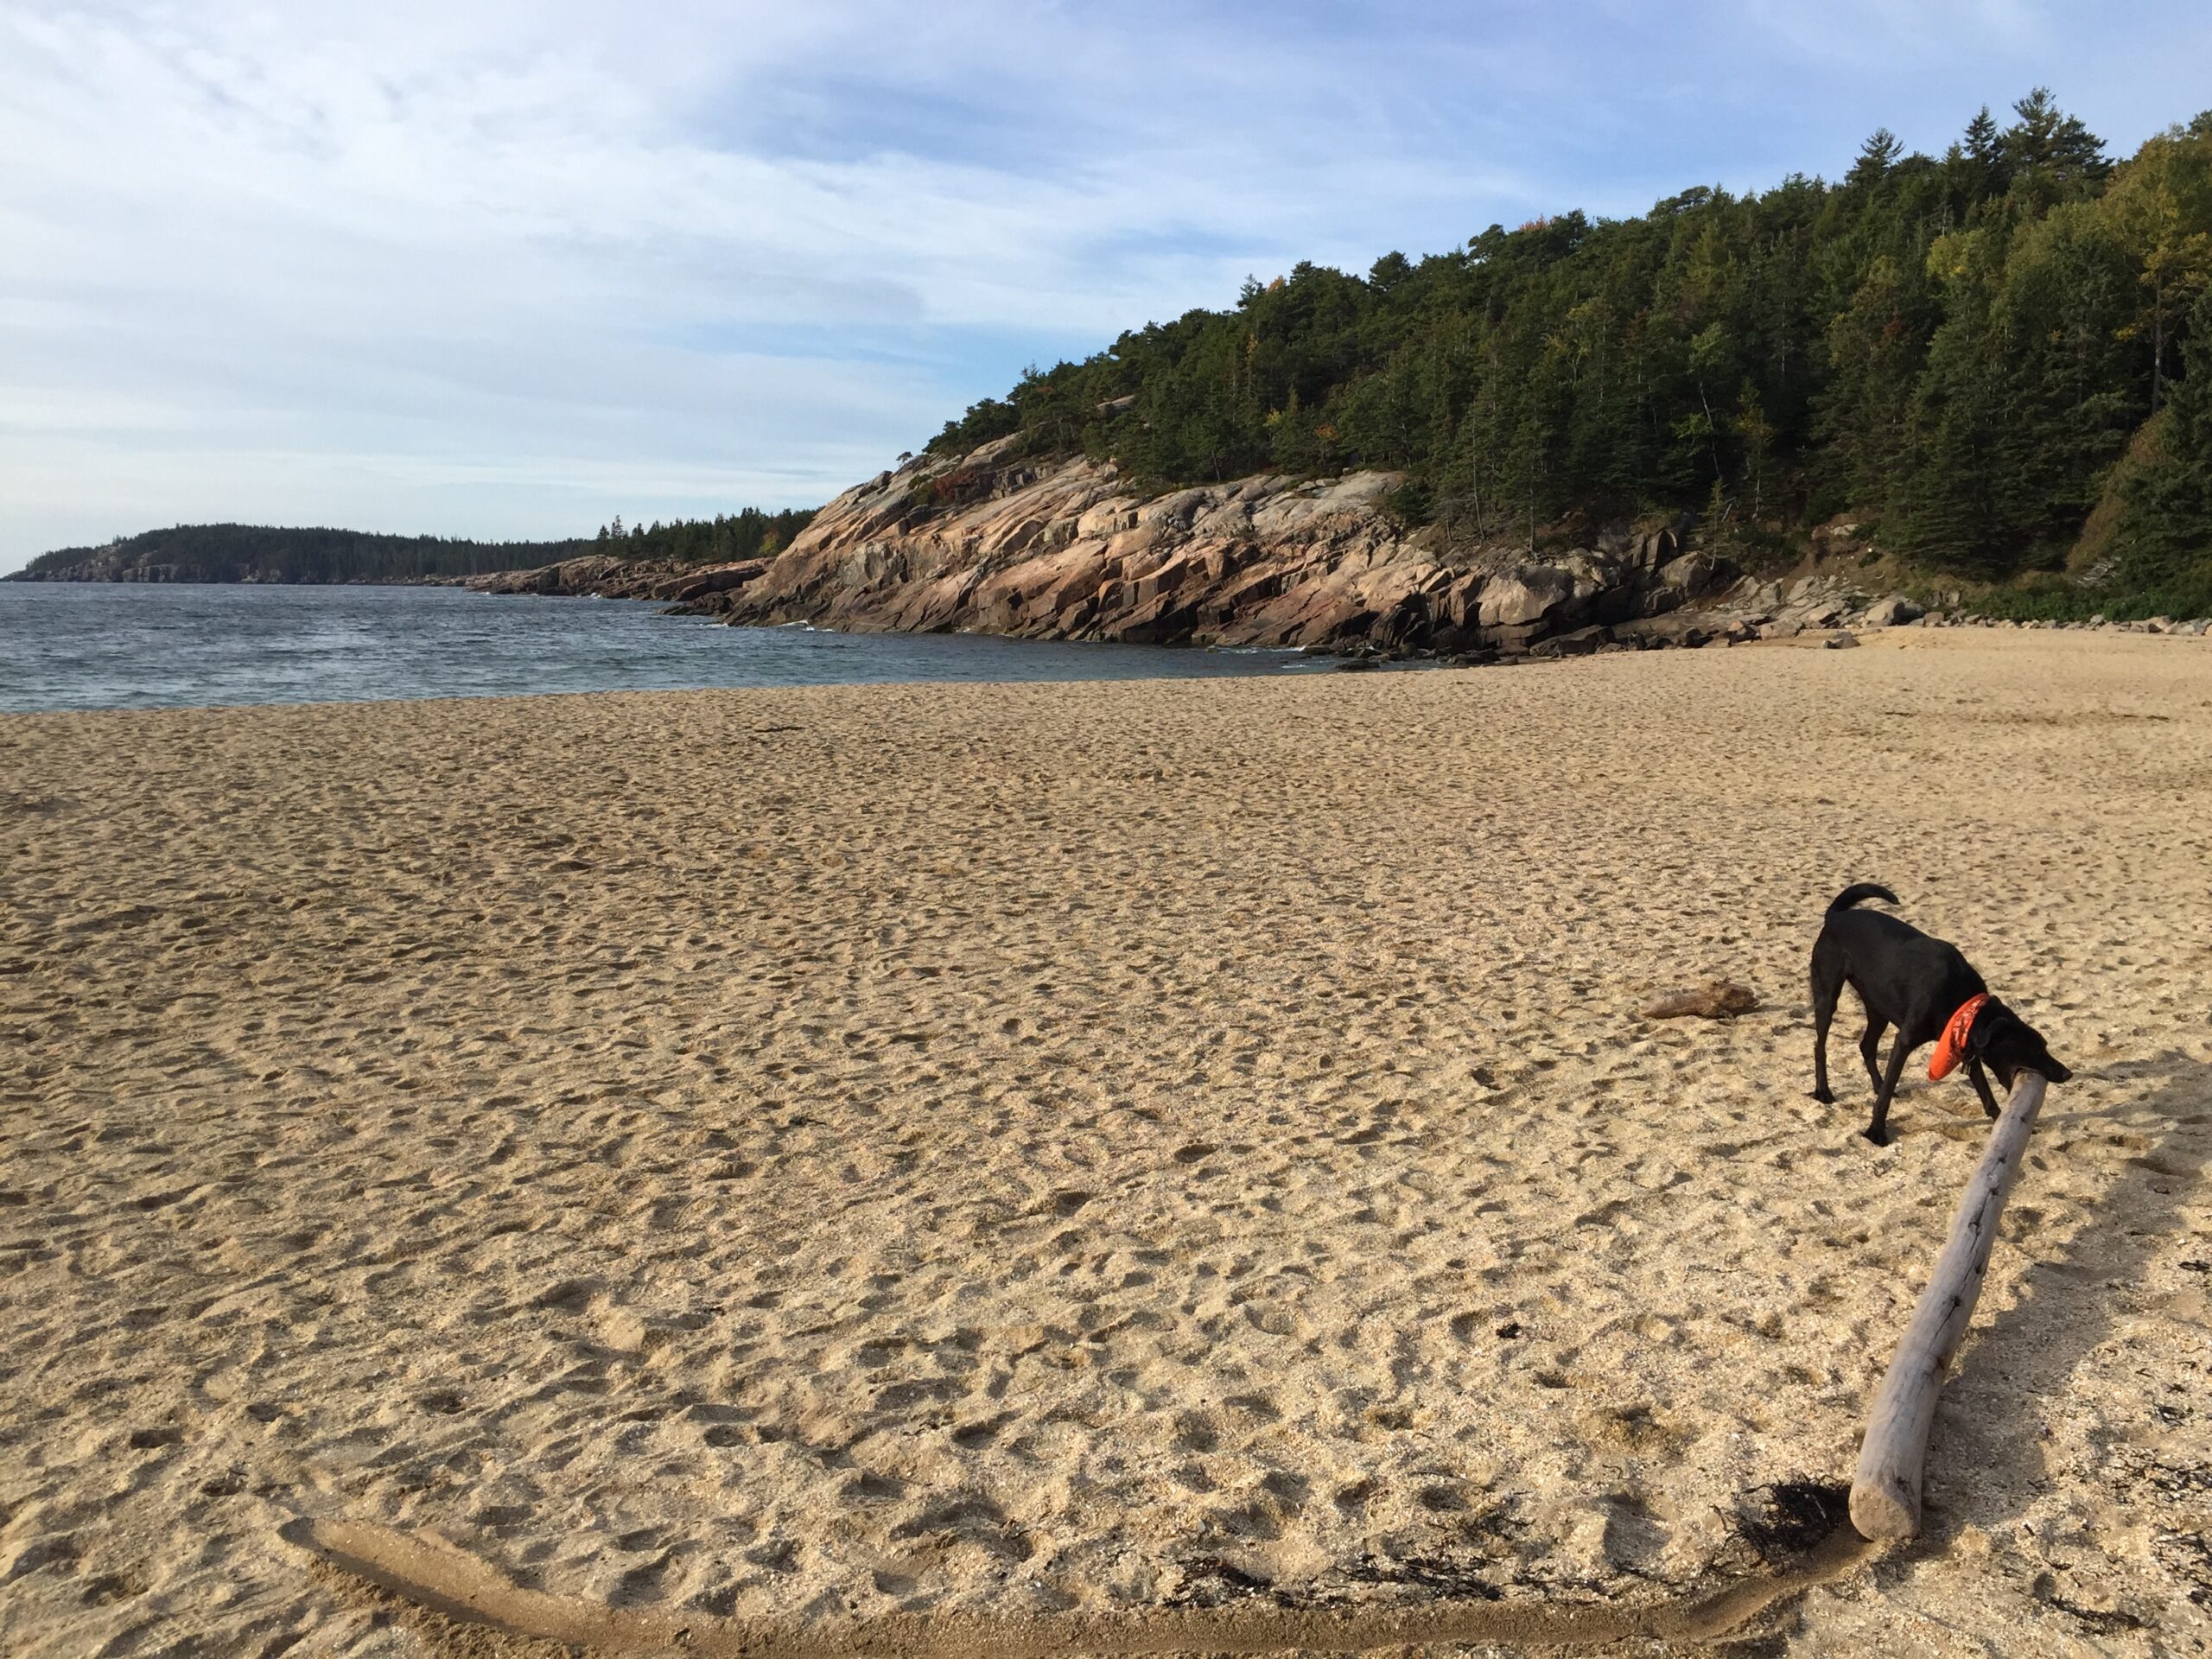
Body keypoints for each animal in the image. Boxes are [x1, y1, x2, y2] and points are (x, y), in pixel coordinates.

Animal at [1804, 889, 2061, 1150]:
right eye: (2033, 1049)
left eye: (2044, 1046)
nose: (2066, 1073)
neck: (1964, 1005)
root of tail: (1836, 916)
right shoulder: (1905, 1042)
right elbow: (1887, 1093)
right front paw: (1876, 1131)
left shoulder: (1968, 1047)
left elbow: (1986, 1093)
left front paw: (2003, 1124)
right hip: (1828, 996)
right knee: (1820, 1046)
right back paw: (1823, 1091)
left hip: (1878, 1007)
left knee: (1866, 1046)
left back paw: (1875, 1084)